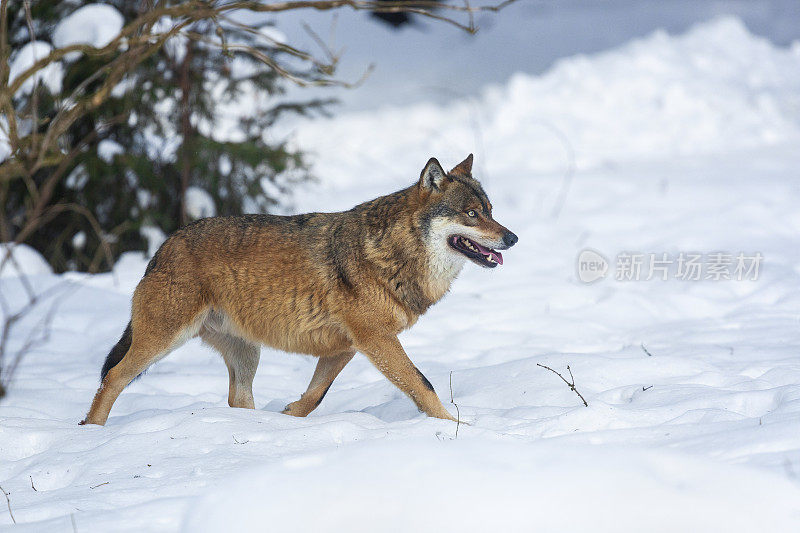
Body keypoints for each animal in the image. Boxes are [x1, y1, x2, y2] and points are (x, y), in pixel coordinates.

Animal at [81, 153, 520, 424]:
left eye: (491, 211)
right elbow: (423, 385)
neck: (392, 252)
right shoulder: (377, 340)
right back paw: (91, 430)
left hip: (247, 354)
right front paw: (458, 427)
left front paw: (287, 419)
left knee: (238, 399)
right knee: (112, 378)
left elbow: (314, 396)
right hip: (163, 340)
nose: (513, 238)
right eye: (471, 214)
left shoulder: (346, 347)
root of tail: (164, 245)